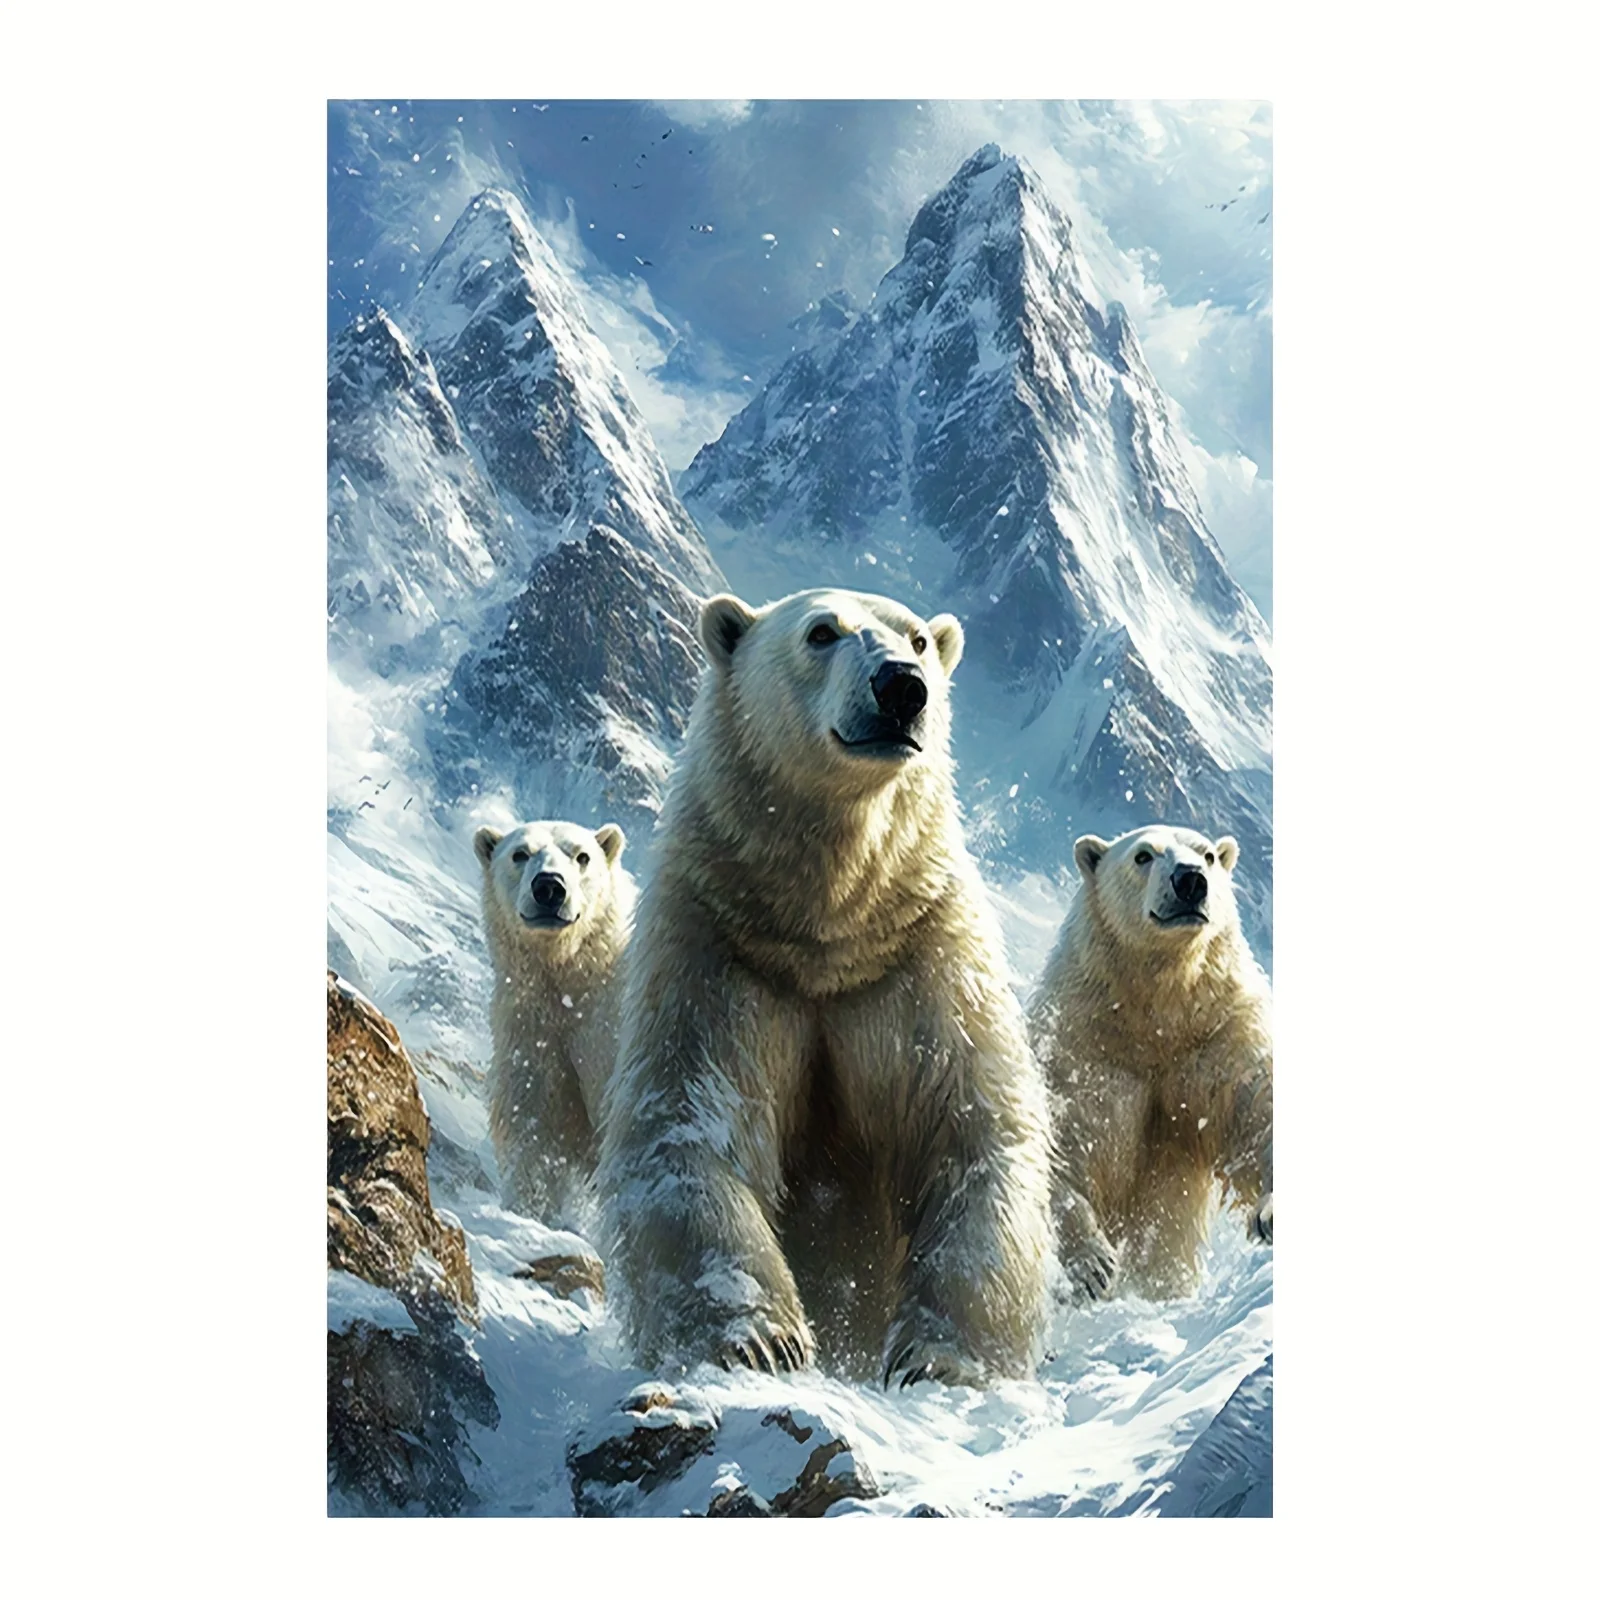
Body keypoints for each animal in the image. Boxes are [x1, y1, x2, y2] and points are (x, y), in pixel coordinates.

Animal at [475, 818, 632, 1228]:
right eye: (520, 854)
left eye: (582, 855)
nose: (549, 887)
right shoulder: (532, 1028)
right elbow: (533, 1120)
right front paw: (530, 1211)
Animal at [594, 586, 1055, 1390]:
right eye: (821, 632)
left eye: (919, 639)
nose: (902, 687)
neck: (829, 932)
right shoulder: (718, 952)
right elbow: (687, 1126)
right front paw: (760, 1341)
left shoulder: (923, 962)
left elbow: (973, 1131)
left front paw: (935, 1358)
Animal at [1029, 824, 1273, 1302]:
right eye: (1143, 855)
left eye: (1209, 855)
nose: (1190, 880)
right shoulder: (1079, 1051)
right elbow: (1061, 1139)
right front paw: (1092, 1266)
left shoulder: (1219, 1036)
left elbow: (1257, 1106)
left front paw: (1269, 1215)